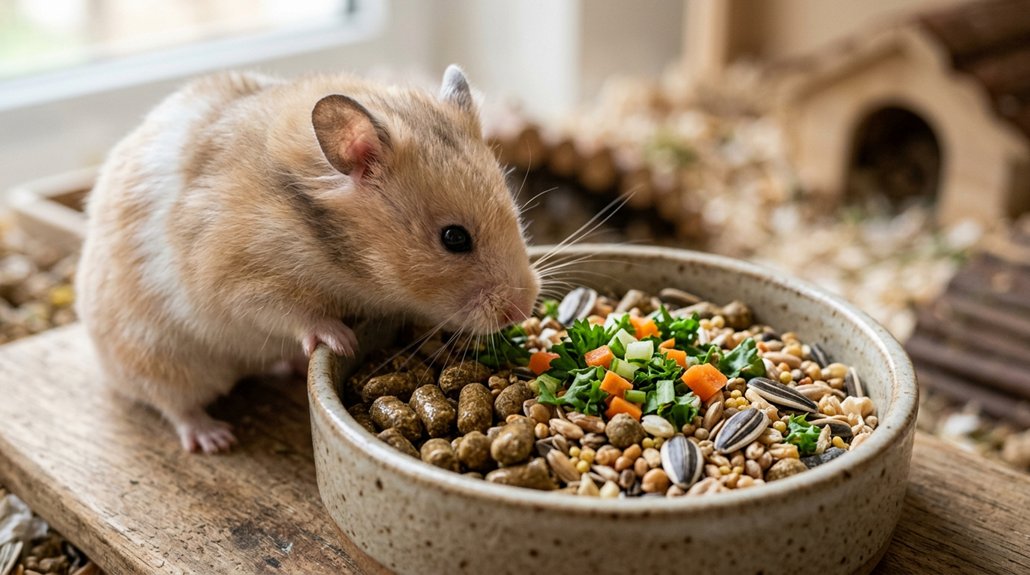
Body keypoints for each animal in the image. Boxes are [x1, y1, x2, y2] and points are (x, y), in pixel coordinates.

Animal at [75, 66, 540, 453]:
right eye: (454, 238)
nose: (523, 310)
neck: (341, 259)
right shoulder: (237, 281)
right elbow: (295, 314)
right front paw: (343, 340)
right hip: (157, 358)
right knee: (175, 405)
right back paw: (215, 439)